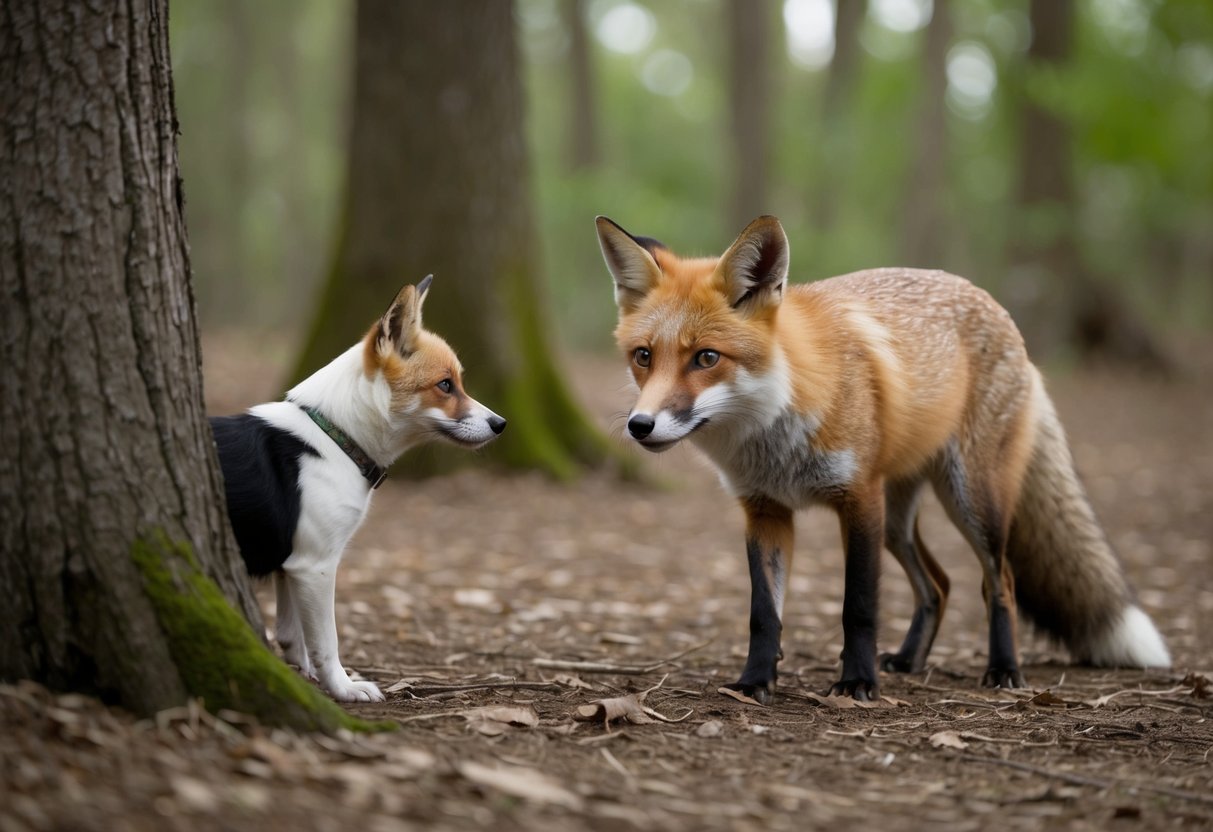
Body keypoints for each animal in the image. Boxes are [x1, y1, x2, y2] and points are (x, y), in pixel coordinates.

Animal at [209, 276, 506, 702]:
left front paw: (307, 678)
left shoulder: (291, 567)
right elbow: (326, 642)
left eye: (458, 383)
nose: (501, 424)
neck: (334, 435)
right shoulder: (315, 566)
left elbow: (292, 637)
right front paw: (344, 688)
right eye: (445, 385)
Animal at [596, 214, 1170, 703]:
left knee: (998, 582)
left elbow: (859, 607)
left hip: (970, 502)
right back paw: (911, 660)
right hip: (898, 521)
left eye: (706, 358)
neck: (778, 428)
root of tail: (1000, 312)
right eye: (643, 356)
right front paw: (755, 681)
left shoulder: (859, 500)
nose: (640, 425)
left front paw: (857, 682)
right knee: (939, 585)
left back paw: (1004, 669)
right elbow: (764, 614)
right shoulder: (765, 510)